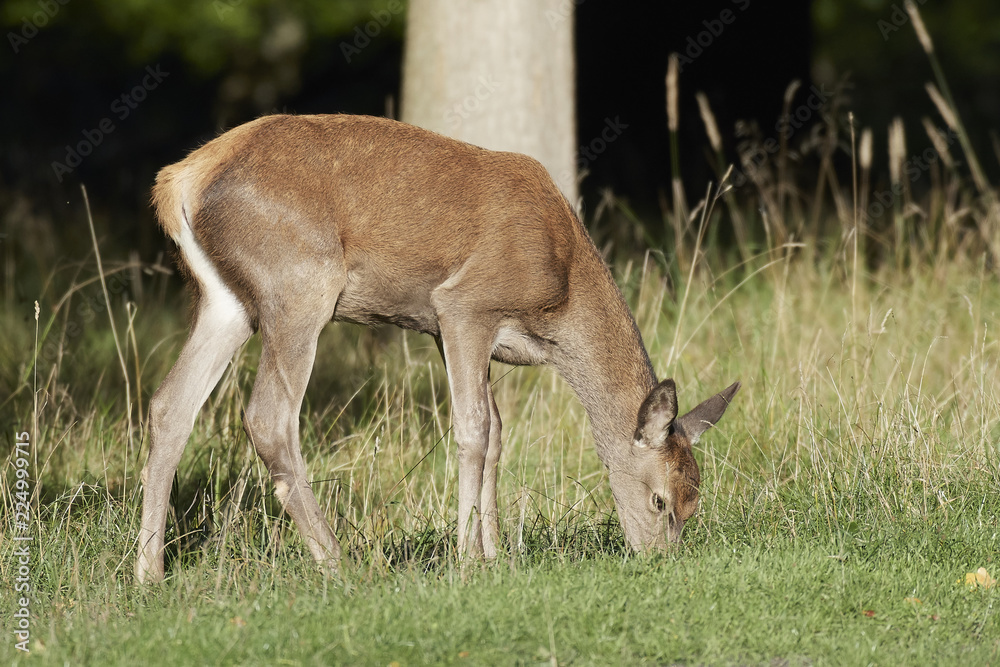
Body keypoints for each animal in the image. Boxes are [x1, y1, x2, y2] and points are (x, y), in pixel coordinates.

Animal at [135, 115, 744, 584]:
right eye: (661, 500)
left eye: (695, 503)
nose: (660, 561)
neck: (559, 296)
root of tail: (179, 180)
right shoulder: (464, 304)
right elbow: (473, 429)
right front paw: (466, 561)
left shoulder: (442, 329)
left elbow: (496, 433)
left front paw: (496, 556)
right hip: (299, 283)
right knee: (268, 416)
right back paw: (339, 564)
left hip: (227, 301)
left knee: (170, 405)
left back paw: (149, 573)